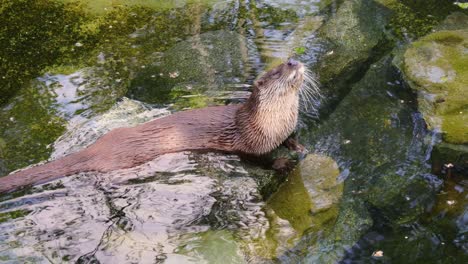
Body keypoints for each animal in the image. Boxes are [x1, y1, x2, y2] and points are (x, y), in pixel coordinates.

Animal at [0, 58, 314, 193]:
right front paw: (282, 163)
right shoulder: (248, 143)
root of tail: (94, 148)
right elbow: (258, 161)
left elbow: (289, 139)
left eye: (286, 62)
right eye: (276, 70)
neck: (271, 122)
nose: (293, 61)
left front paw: (299, 146)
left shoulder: (283, 129)